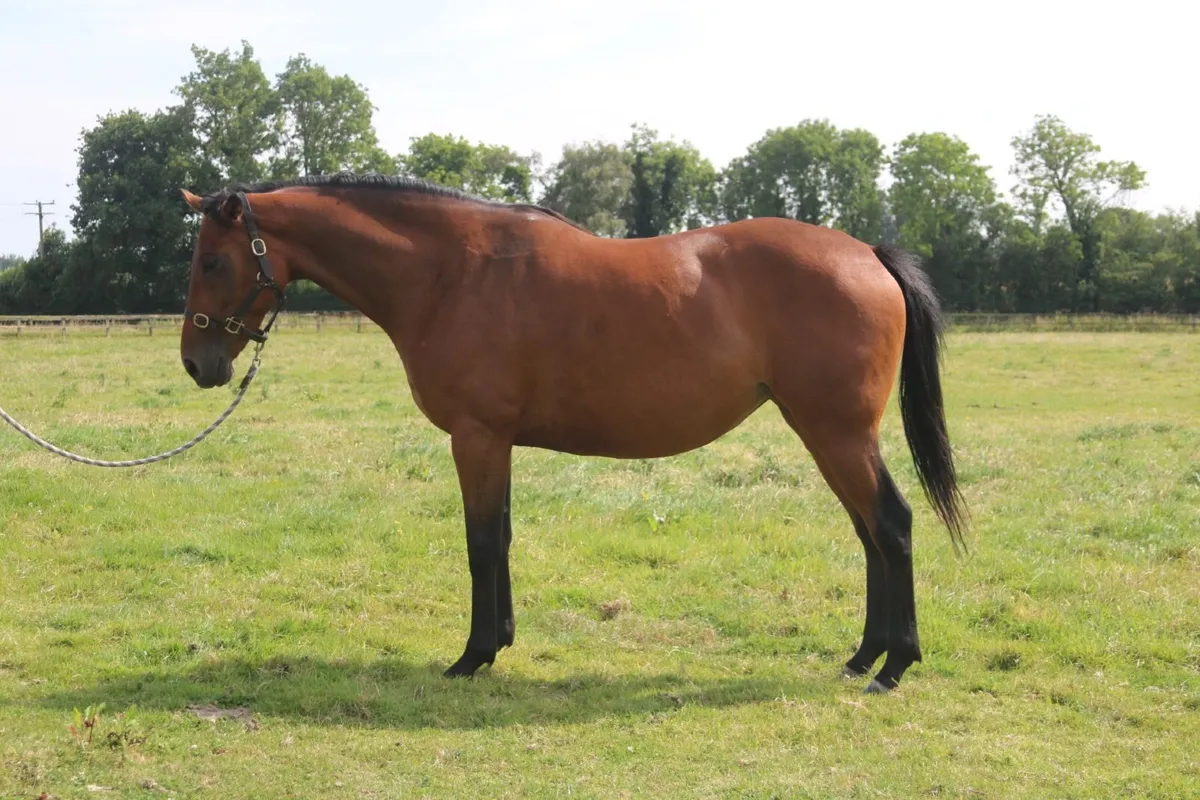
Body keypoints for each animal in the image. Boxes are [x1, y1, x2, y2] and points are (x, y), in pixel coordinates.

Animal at [178, 172, 967, 694]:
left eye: (212, 260)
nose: (197, 363)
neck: (451, 273)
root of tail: (867, 253)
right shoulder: (495, 441)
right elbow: (501, 538)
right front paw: (499, 642)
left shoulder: (477, 437)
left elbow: (481, 543)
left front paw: (472, 657)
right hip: (827, 434)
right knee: (869, 533)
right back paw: (862, 658)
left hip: (837, 433)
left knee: (891, 525)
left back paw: (894, 666)